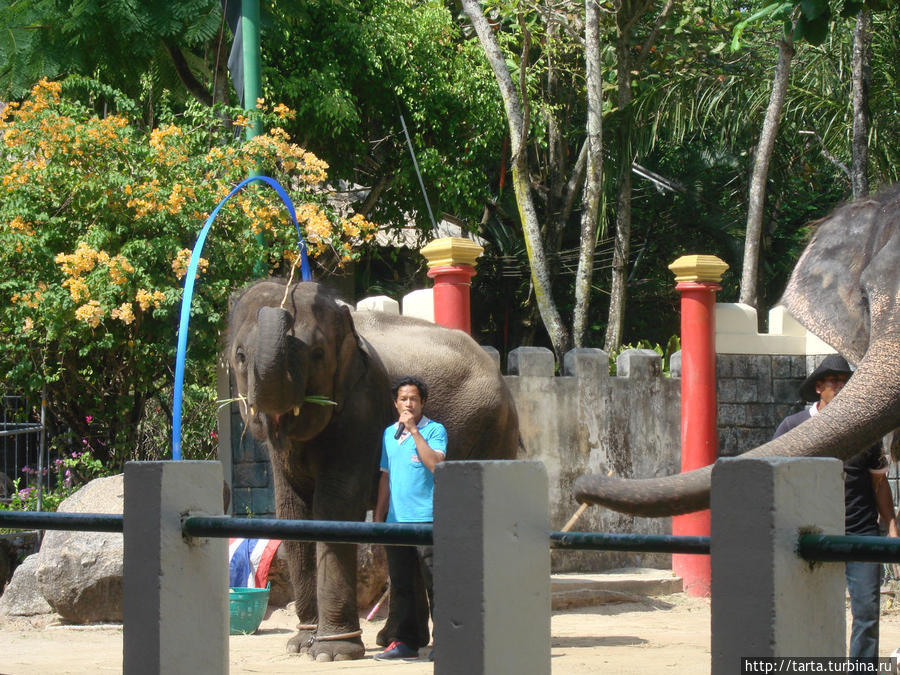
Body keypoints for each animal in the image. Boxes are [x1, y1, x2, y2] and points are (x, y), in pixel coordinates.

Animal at [227, 278, 520, 660]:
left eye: (317, 354)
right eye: (240, 356)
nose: (289, 284)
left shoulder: (359, 411)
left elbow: (334, 508)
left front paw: (332, 653)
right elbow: (293, 511)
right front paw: (301, 645)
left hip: (492, 433)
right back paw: (394, 640)